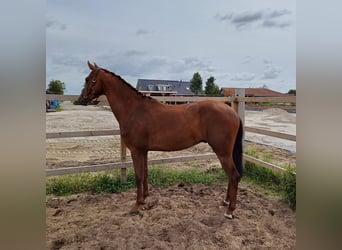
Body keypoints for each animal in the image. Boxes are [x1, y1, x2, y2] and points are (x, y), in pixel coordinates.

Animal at [78, 62, 243, 219]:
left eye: (89, 79)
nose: (81, 100)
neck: (134, 110)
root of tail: (232, 112)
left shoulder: (136, 151)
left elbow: (138, 176)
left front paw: (136, 206)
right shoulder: (143, 151)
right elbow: (145, 174)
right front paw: (144, 199)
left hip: (222, 152)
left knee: (233, 175)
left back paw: (230, 211)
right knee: (231, 176)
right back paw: (225, 201)